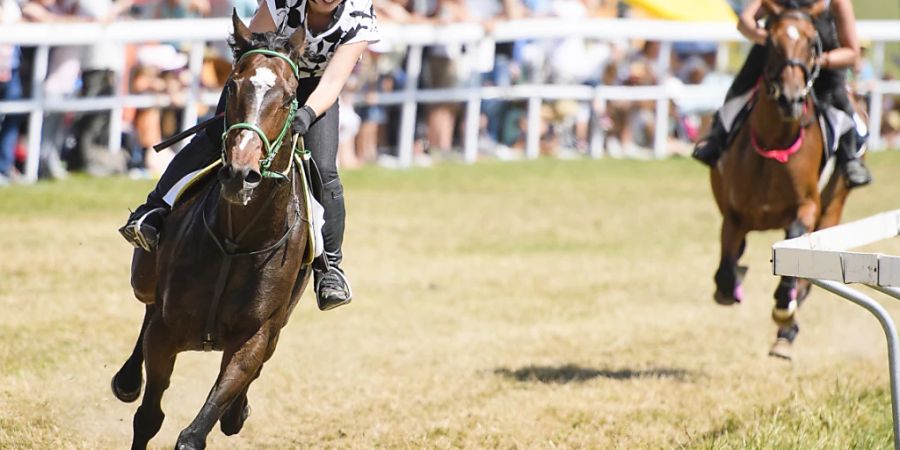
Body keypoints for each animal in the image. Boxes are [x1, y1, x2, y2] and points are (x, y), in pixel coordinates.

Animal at [712, 0, 852, 358]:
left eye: (812, 43)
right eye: (771, 43)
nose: (790, 99)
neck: (774, 143)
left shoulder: (807, 205)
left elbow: (796, 239)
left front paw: (783, 305)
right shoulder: (733, 214)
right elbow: (726, 268)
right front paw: (731, 284)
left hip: (834, 204)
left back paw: (787, 328)